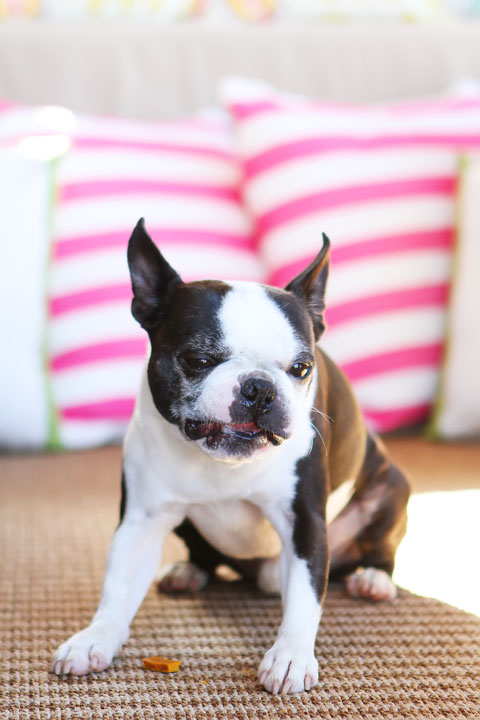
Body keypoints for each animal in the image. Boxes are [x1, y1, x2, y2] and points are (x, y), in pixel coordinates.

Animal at [51, 218, 408, 692]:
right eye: (199, 359)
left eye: (301, 369)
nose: (260, 388)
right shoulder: (141, 520)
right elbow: (117, 586)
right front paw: (95, 637)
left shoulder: (304, 521)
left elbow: (306, 594)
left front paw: (291, 655)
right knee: (204, 555)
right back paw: (188, 573)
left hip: (391, 487)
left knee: (380, 544)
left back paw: (373, 579)